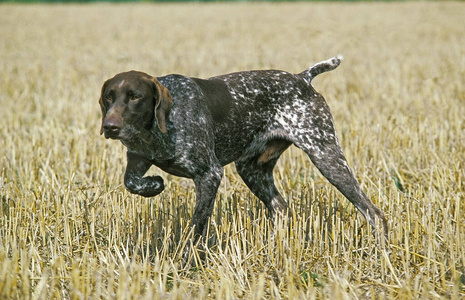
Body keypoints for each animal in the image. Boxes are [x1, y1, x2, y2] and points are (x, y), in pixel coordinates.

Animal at [99, 55, 388, 246]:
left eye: (135, 97)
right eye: (108, 97)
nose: (110, 127)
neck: (158, 130)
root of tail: (302, 78)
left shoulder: (209, 174)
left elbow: (197, 227)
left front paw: (187, 262)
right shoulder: (137, 157)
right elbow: (130, 181)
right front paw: (153, 185)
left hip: (326, 155)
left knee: (373, 213)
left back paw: (381, 252)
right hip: (251, 169)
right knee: (281, 209)